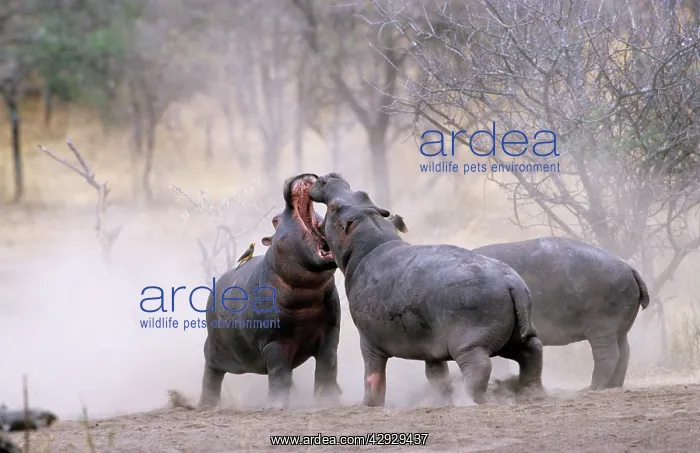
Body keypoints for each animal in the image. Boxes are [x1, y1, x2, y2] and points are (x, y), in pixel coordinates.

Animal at [198, 173, 342, 409]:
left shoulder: (330, 330)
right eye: (275, 220)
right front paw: (277, 406)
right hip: (213, 350)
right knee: (211, 376)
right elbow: (279, 374)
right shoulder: (273, 343)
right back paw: (207, 406)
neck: (307, 296)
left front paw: (329, 401)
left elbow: (327, 365)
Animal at [308, 173, 545, 405]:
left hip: (470, 344)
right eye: (362, 194)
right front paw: (441, 399)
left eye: (334, 207)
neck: (368, 235)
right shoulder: (430, 345)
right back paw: (530, 393)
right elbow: (436, 374)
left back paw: (469, 400)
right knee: (533, 352)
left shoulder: (368, 340)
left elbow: (373, 375)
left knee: (479, 367)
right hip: (514, 337)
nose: (330, 176)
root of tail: (512, 283)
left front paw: (368, 404)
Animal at [473, 237, 650, 390]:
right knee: (624, 353)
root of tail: (630, 268)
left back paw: (592, 388)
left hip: (603, 328)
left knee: (608, 355)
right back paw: (612, 386)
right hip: (619, 329)